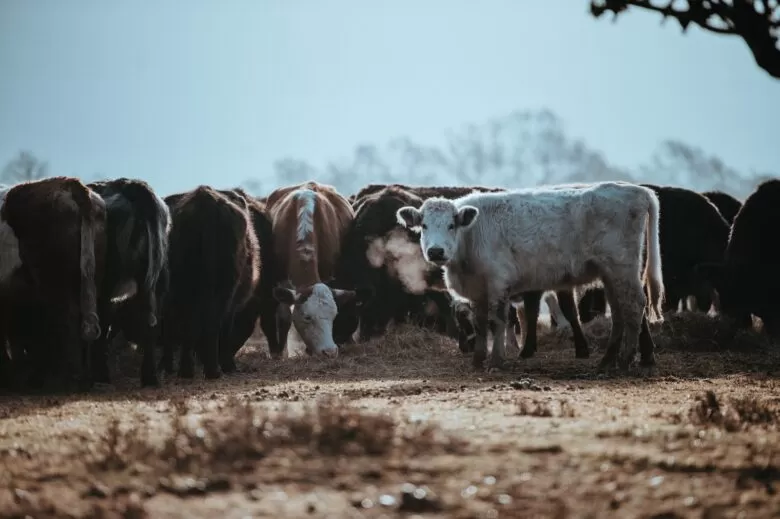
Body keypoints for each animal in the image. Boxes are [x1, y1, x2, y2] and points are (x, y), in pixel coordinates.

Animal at [85, 179, 171, 386]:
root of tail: (130, 185)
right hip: (158, 282)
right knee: (151, 324)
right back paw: (150, 377)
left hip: (107, 283)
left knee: (102, 323)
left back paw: (100, 375)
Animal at [161, 186, 258, 378]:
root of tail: (206, 201)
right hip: (223, 289)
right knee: (212, 323)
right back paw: (214, 369)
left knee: (190, 324)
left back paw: (187, 370)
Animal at [266, 181, 368, 356]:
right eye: (307, 317)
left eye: (334, 315)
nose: (330, 351)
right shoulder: (282, 279)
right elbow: (285, 317)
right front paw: (281, 353)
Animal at [396, 183, 664, 374]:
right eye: (424, 225)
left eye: (451, 225)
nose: (436, 251)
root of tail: (637, 190)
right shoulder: (478, 290)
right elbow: (481, 323)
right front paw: (478, 360)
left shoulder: (498, 283)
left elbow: (498, 321)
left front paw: (497, 361)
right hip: (610, 274)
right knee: (619, 312)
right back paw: (607, 361)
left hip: (622, 268)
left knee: (634, 306)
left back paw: (625, 361)